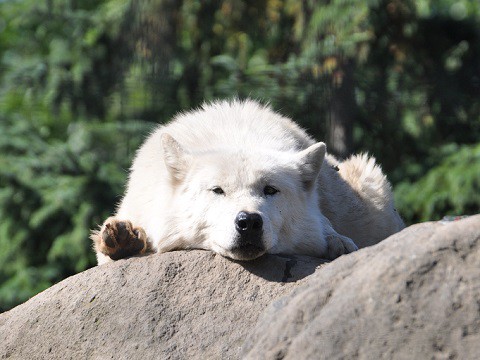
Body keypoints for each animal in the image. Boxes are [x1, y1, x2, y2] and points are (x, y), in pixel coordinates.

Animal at [91, 98, 404, 264]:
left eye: (270, 190)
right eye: (217, 190)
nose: (249, 222)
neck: (236, 134)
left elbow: (322, 225)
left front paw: (336, 241)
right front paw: (124, 238)